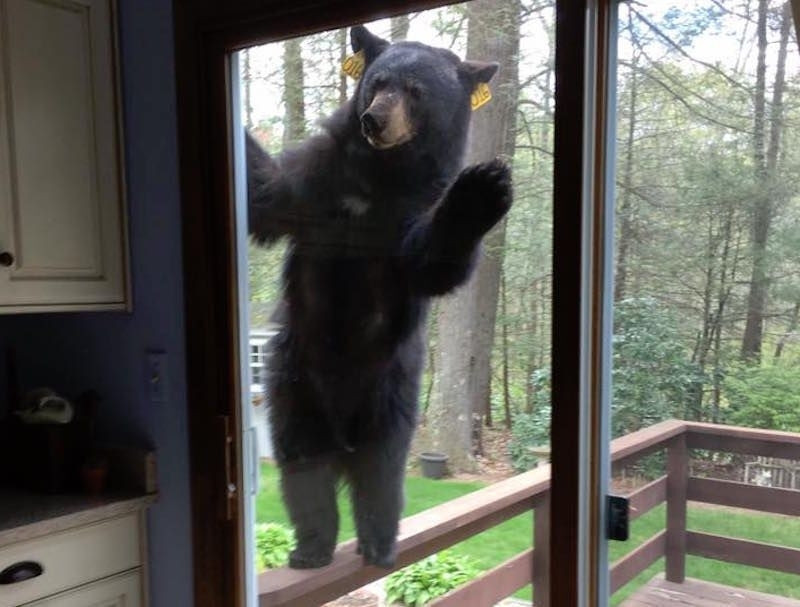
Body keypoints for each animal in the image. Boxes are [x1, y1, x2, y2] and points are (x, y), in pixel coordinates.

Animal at [248, 23, 512, 568]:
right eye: (377, 83)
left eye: (416, 91)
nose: (374, 119)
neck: (380, 176)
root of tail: (341, 433)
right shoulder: (318, 181)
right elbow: (268, 195)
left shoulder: (412, 210)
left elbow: (432, 264)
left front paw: (481, 188)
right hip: (294, 384)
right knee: (301, 466)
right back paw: (312, 546)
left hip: (391, 393)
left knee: (382, 473)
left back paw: (378, 542)